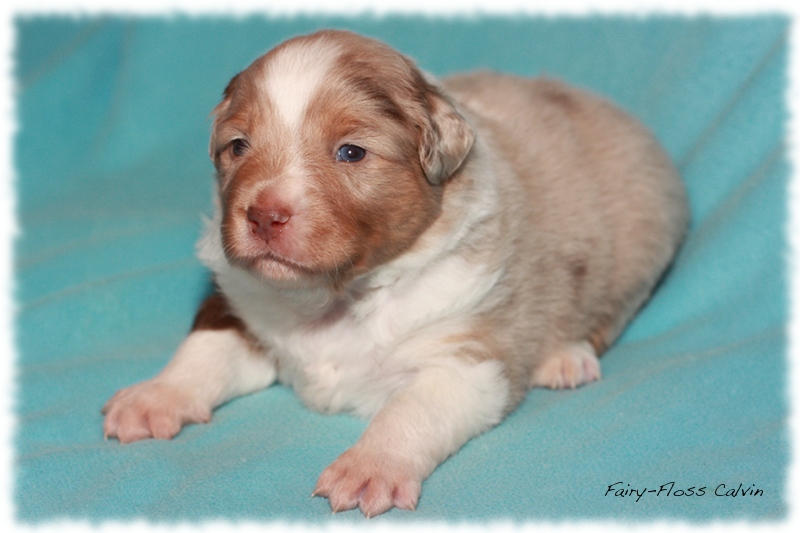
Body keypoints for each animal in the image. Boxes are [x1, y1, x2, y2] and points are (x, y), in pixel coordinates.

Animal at [101, 29, 688, 516]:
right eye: (238, 146)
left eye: (351, 152)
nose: (264, 215)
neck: (337, 296)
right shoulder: (241, 302)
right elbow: (206, 347)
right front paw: (155, 397)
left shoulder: (466, 356)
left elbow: (411, 408)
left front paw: (369, 467)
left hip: (643, 240)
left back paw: (564, 356)